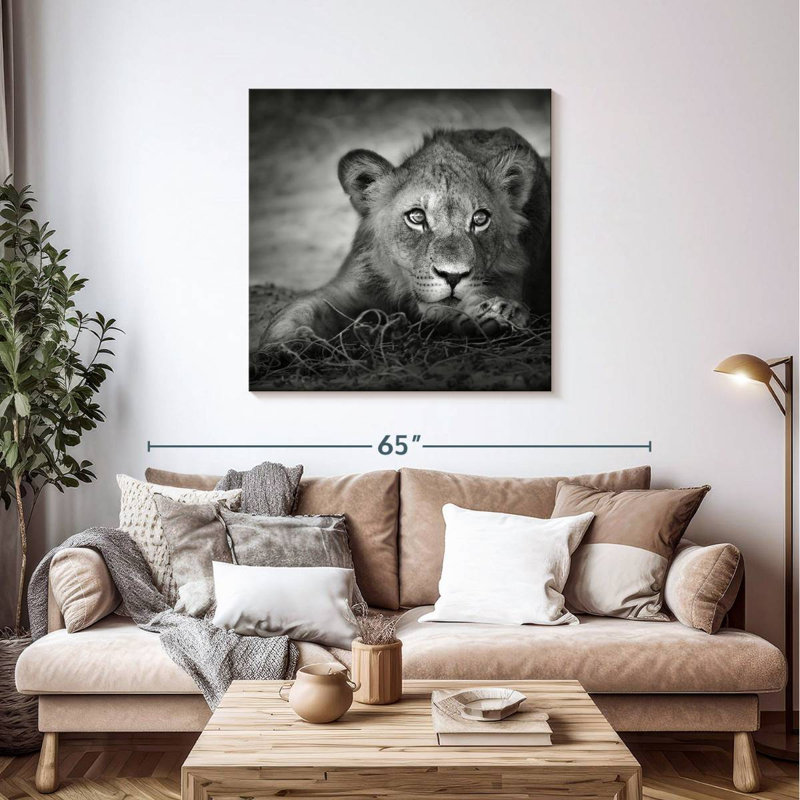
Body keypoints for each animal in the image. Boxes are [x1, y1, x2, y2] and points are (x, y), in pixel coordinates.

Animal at [263, 127, 550, 344]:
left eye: (480, 219)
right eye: (417, 217)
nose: (453, 276)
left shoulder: (509, 276)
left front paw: (499, 314)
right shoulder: (352, 285)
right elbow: (297, 310)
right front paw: (284, 346)